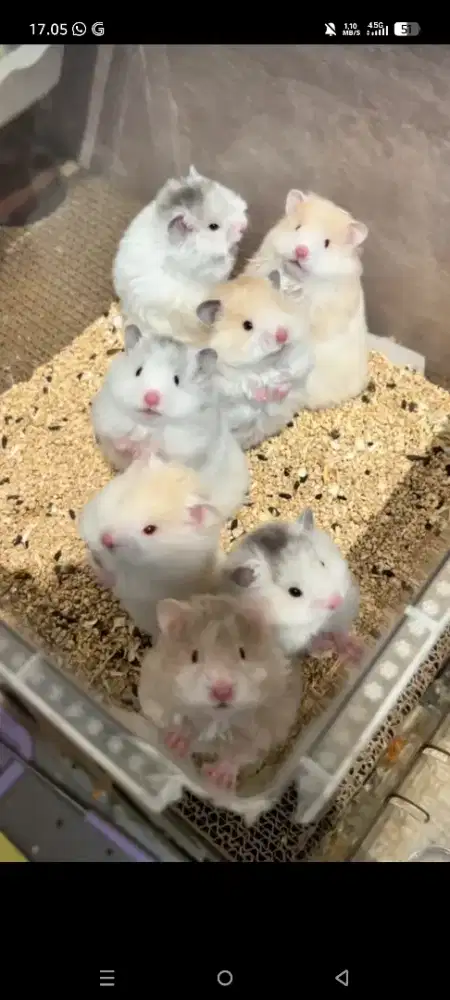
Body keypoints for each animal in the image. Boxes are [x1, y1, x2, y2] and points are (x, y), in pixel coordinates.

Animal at [91, 324, 249, 520]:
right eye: (138, 371)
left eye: (176, 380)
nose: (151, 398)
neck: (149, 425)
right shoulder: (110, 420)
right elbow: (121, 441)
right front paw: (132, 448)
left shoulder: (184, 447)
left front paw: (143, 454)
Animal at [130, 593, 302, 792]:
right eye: (194, 656)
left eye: (242, 653)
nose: (222, 691)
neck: (216, 717)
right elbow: (185, 723)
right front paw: (173, 743)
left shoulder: (261, 731)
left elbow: (237, 754)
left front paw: (217, 779)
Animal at [196, 272, 314, 450]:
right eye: (247, 325)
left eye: (278, 307)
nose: (282, 336)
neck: (265, 363)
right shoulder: (225, 375)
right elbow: (246, 382)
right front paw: (263, 395)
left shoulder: (299, 357)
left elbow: (287, 373)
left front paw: (278, 389)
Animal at [220, 508, 361, 659]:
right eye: (294, 592)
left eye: (322, 563)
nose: (337, 601)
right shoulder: (292, 640)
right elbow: (311, 643)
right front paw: (327, 646)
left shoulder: (344, 609)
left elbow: (340, 630)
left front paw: (355, 650)